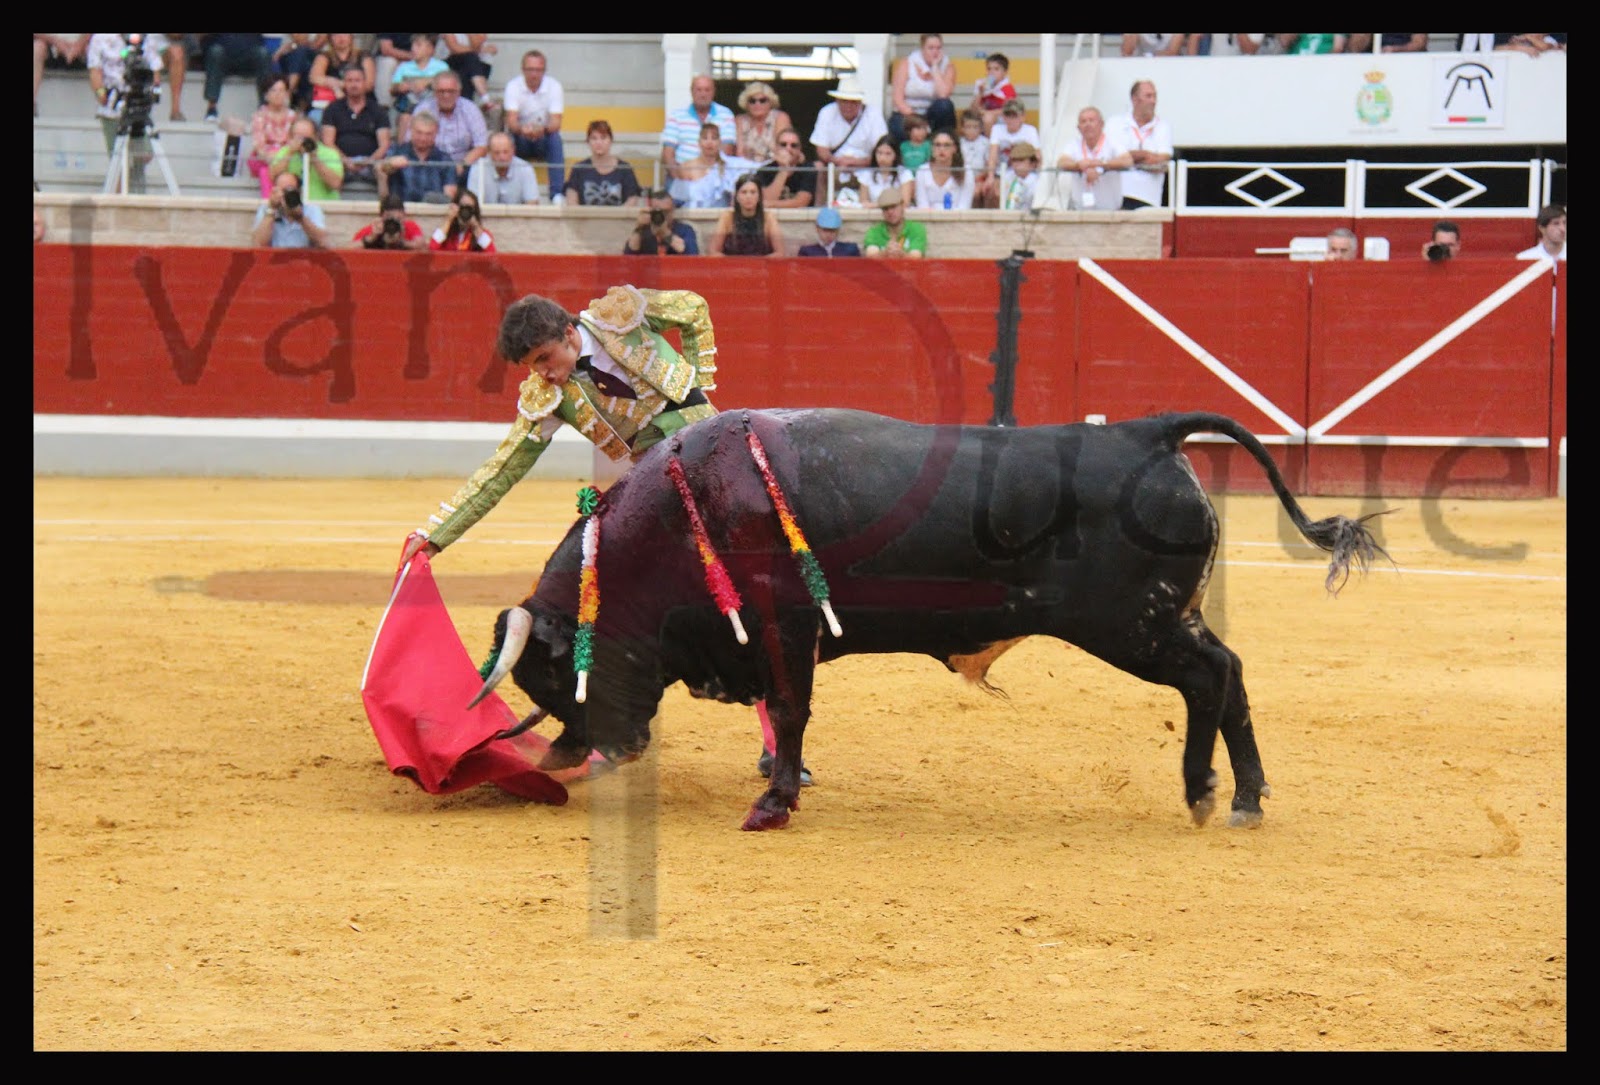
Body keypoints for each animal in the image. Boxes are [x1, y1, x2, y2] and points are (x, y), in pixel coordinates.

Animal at [470, 408, 1386, 831]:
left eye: (550, 673)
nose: (577, 753)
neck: (682, 511)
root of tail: (1146, 434)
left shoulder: (787, 625)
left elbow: (792, 711)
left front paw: (773, 802)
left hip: (1133, 625)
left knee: (1210, 676)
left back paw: (1203, 792)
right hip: (1163, 619)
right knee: (1230, 674)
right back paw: (1248, 797)